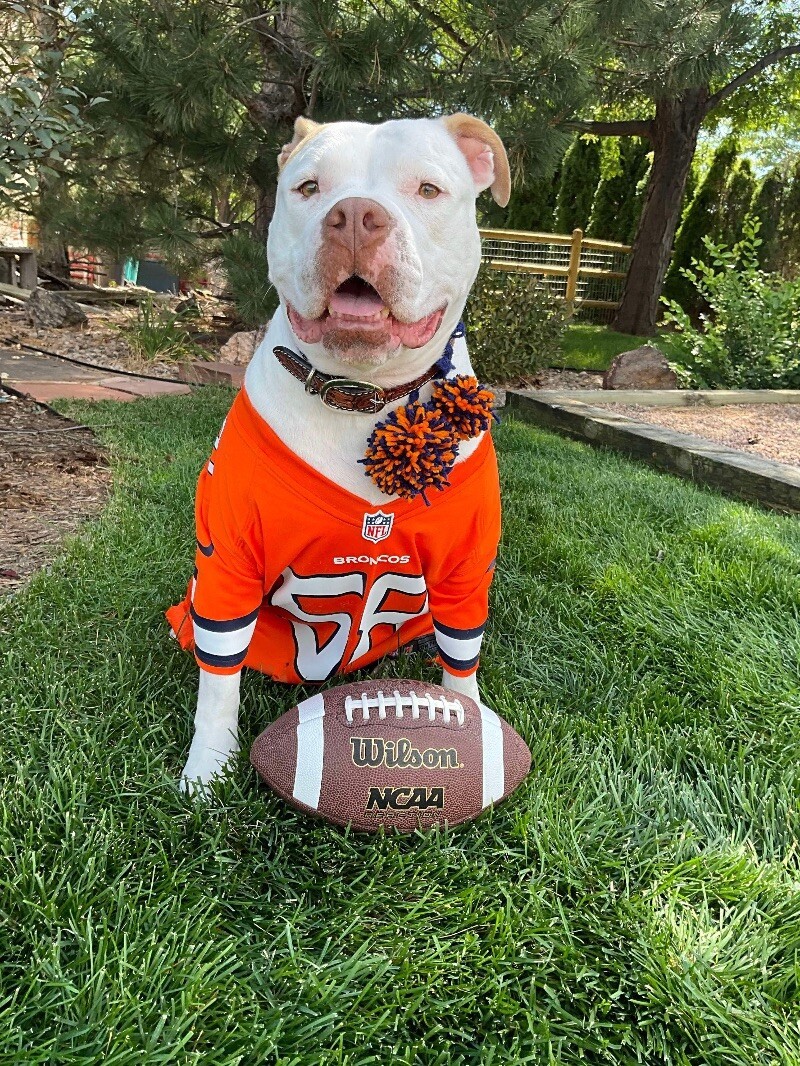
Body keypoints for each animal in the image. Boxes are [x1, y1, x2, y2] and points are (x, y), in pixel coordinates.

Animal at [167, 114, 514, 793]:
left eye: (427, 189)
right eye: (309, 188)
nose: (355, 215)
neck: (363, 396)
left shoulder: (466, 569)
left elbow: (462, 656)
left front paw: (470, 726)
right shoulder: (228, 563)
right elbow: (218, 679)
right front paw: (208, 767)